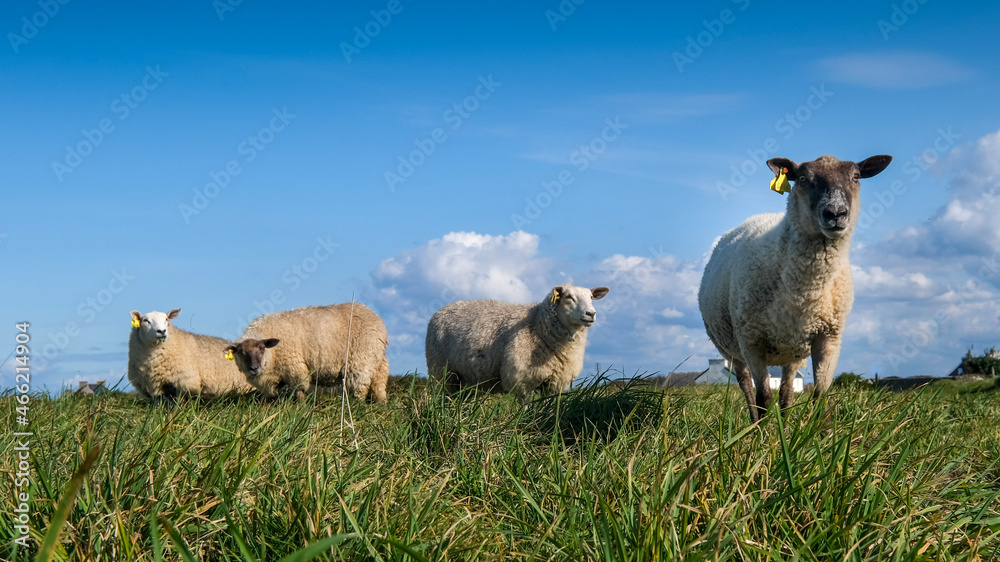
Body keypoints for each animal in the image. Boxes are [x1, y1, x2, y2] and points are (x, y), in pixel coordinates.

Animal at [223, 303, 389, 402]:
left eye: (262, 348)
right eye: (241, 352)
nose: (254, 368)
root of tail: (375, 316)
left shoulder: (294, 367)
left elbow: (300, 390)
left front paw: (300, 407)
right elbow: (271, 398)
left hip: (361, 360)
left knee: (359, 388)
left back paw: (357, 406)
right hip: (377, 360)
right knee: (379, 383)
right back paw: (380, 403)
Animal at [425, 283, 610, 401]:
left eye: (591, 297)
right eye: (568, 297)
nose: (591, 313)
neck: (537, 323)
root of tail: (444, 308)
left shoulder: (555, 383)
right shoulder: (521, 380)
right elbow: (525, 407)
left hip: (466, 380)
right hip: (441, 372)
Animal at [698, 154, 892, 422]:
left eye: (855, 177)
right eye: (802, 178)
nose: (836, 213)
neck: (805, 294)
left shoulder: (829, 336)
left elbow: (820, 395)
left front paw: (819, 432)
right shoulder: (752, 341)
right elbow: (763, 398)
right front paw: (762, 433)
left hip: (791, 350)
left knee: (787, 392)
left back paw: (786, 426)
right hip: (734, 348)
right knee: (747, 386)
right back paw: (753, 424)